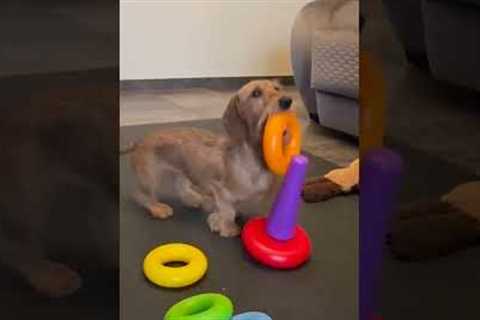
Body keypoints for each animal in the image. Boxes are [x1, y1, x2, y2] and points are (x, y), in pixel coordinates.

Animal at [128, 80, 292, 236]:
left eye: (277, 88)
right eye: (256, 93)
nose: (287, 101)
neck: (253, 157)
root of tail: (139, 142)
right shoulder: (217, 187)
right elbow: (228, 211)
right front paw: (227, 227)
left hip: (181, 171)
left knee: (180, 186)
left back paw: (192, 198)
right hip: (150, 177)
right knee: (141, 195)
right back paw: (157, 208)